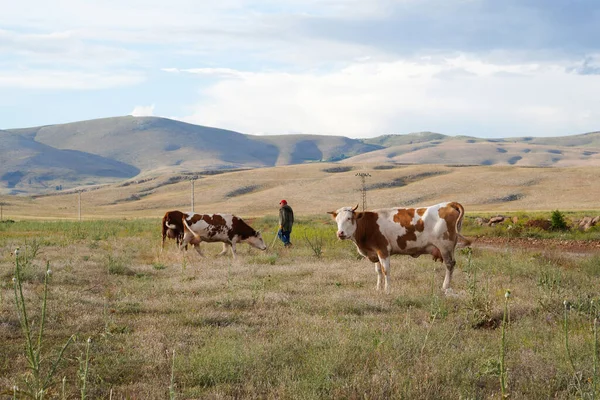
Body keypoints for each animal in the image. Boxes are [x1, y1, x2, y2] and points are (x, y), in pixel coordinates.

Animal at [326, 202, 472, 292]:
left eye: (349, 218)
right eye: (337, 220)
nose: (340, 233)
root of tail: (448, 203)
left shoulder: (383, 250)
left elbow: (386, 271)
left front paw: (387, 290)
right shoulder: (375, 252)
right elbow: (378, 271)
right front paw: (378, 288)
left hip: (445, 246)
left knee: (449, 265)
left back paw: (445, 287)